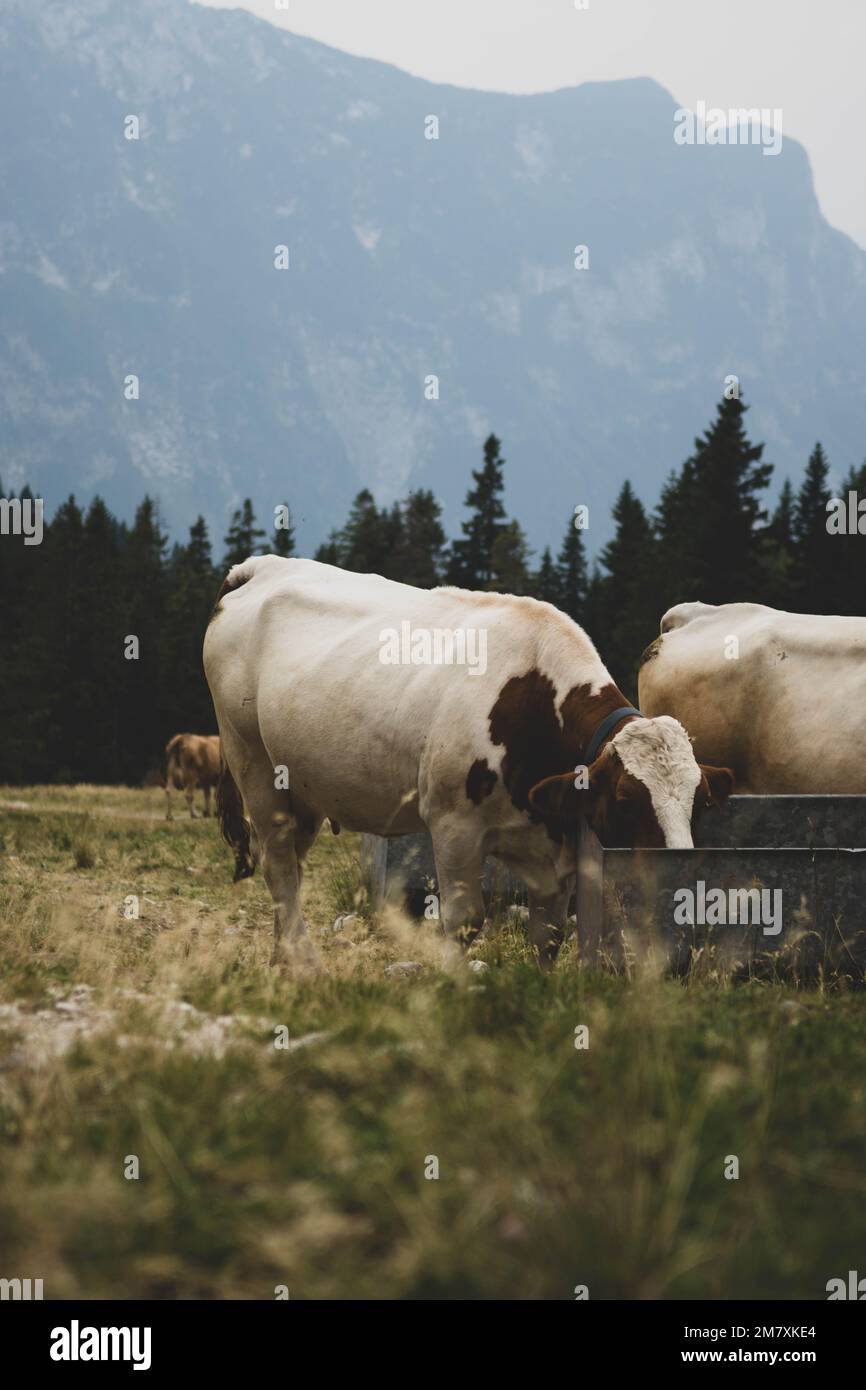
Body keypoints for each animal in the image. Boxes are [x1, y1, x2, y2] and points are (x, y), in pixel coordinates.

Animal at [203, 556, 733, 972]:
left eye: (701, 799)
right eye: (626, 800)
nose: (678, 871)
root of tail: (260, 567)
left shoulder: (552, 844)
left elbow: (550, 933)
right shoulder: (452, 824)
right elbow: (463, 922)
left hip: (302, 787)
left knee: (291, 864)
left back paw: (284, 958)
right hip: (253, 763)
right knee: (278, 865)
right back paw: (305, 964)